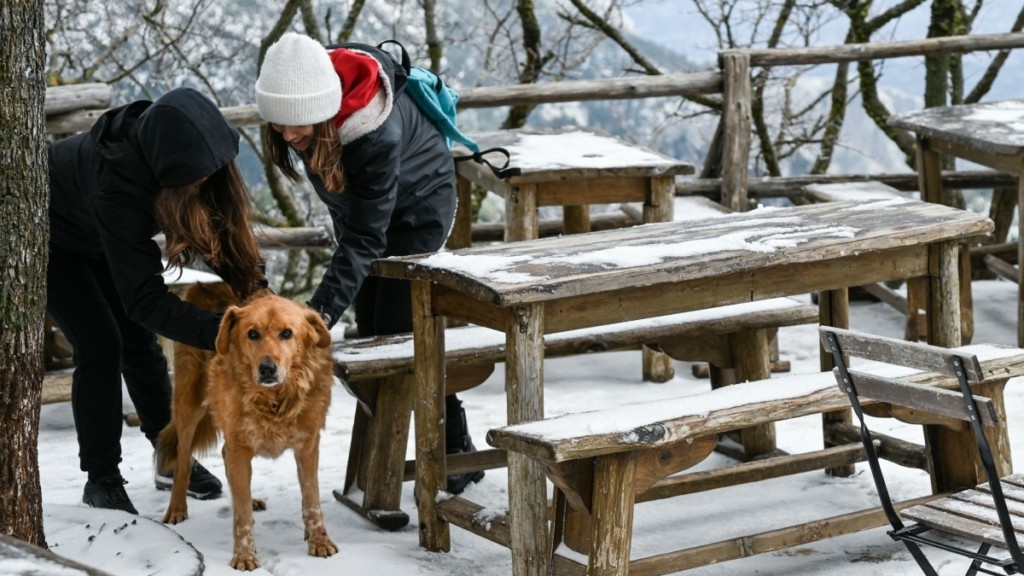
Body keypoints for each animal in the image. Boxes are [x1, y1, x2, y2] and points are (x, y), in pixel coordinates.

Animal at [157, 280, 337, 565]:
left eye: (287, 333)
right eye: (252, 334)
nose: (267, 369)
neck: (274, 400)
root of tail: (204, 283)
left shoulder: (307, 446)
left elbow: (312, 501)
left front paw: (319, 541)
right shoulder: (240, 446)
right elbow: (241, 517)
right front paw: (244, 556)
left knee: (224, 459)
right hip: (188, 408)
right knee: (183, 461)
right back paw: (177, 508)